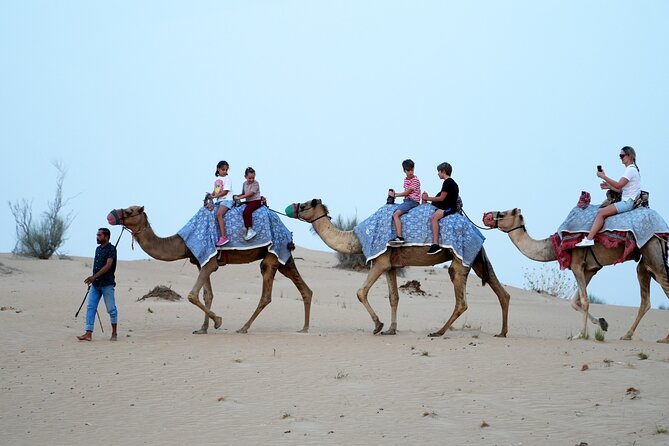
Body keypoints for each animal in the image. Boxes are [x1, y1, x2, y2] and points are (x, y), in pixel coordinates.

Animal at [107, 206, 313, 334]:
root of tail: (286, 230)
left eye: (129, 210)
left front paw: (218, 321)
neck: (182, 242)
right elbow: (207, 295)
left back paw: (243, 328)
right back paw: (304, 328)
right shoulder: (201, 262)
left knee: (266, 294)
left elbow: (192, 295)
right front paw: (203, 328)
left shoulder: (210, 261)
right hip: (283, 256)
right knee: (305, 289)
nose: (110, 215)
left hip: (272, 254)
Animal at [291, 199, 511, 337]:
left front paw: (378, 326)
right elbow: (394, 297)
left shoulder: (380, 261)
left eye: (305, 204)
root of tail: (475, 230)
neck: (356, 238)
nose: (293, 207)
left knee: (461, 300)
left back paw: (438, 332)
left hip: (460, 257)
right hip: (476, 258)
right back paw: (502, 333)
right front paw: (391, 329)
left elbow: (361, 292)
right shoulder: (391, 266)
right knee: (501, 292)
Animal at [484, 208, 669, 343]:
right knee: (645, 299)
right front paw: (602, 323)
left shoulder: (576, 264)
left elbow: (585, 300)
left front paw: (581, 334)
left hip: (652, 253)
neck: (554, 246)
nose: (486, 216)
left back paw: (664, 339)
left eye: (503, 214)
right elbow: (575, 302)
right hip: (645, 264)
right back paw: (627, 335)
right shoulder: (590, 269)